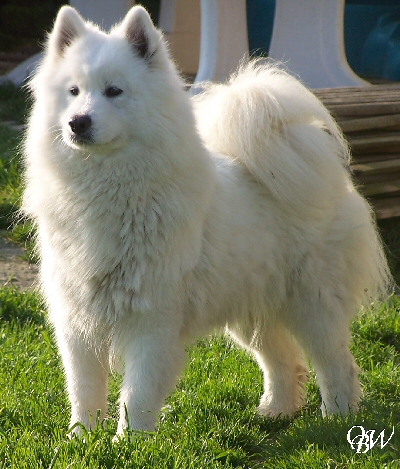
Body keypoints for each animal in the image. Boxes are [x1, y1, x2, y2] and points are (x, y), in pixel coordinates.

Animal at [23, 5, 391, 436]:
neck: (104, 190)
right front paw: (82, 439)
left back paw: (338, 418)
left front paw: (130, 441)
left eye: (114, 91)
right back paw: (276, 411)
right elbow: (83, 391)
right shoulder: (77, 321)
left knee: (336, 364)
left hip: (313, 303)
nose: (77, 122)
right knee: (285, 362)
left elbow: (137, 393)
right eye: (73, 92)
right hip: (253, 310)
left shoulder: (152, 321)